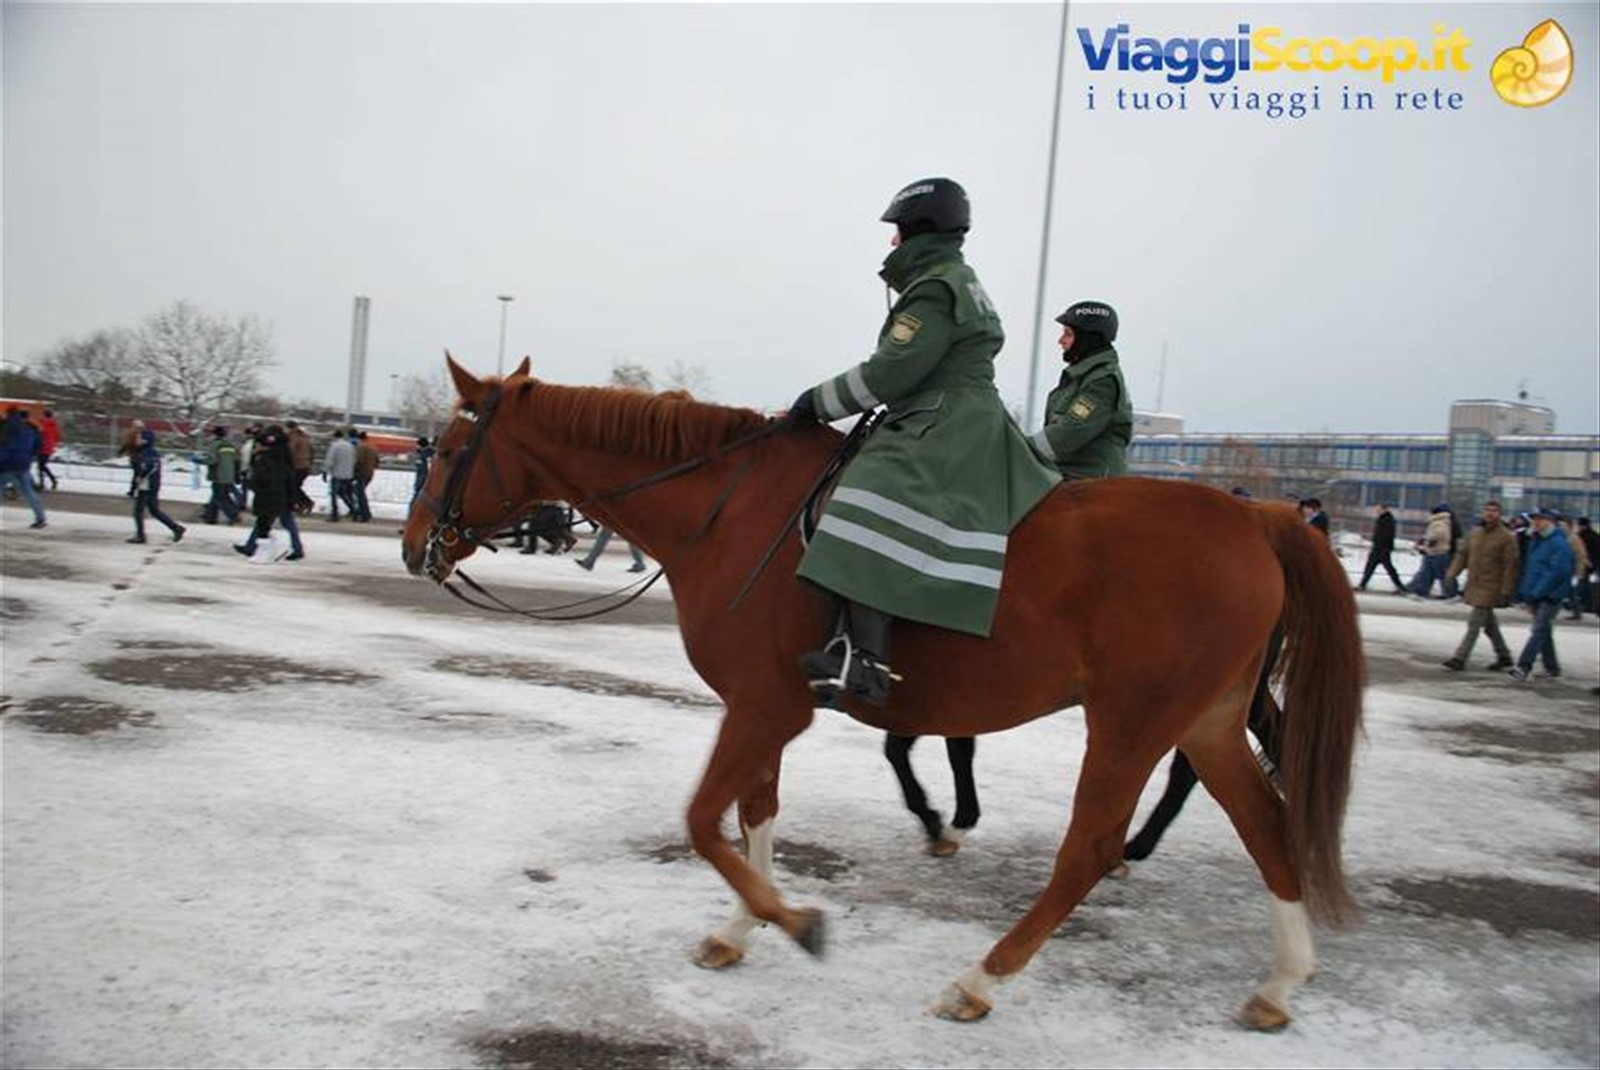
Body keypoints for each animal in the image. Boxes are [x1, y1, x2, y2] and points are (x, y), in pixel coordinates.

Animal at [402, 358, 1364, 1029]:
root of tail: (1255, 516)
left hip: (1132, 723)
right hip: (1205, 721)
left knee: (1089, 851)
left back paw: (980, 978)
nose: (416, 546)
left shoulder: (765, 707)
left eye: (446, 449)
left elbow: (703, 820)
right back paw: (1280, 983)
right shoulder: (761, 711)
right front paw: (743, 927)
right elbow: (755, 815)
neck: (730, 513)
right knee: (1266, 825)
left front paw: (792, 920)